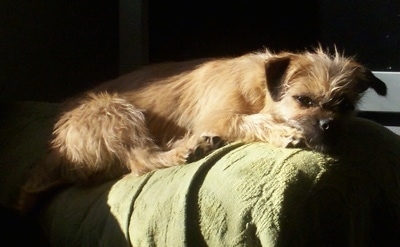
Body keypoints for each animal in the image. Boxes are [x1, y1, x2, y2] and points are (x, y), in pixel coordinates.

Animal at [16, 47, 388, 212]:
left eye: (345, 106)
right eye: (303, 100)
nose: (328, 125)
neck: (260, 88)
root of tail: (57, 150)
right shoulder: (218, 117)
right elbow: (249, 120)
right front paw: (285, 132)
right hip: (114, 111)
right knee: (141, 161)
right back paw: (188, 148)